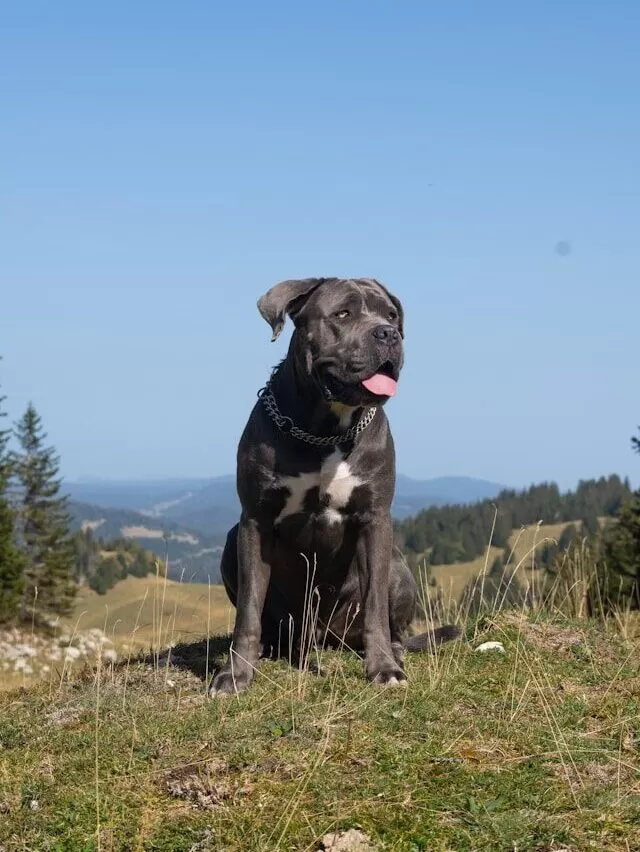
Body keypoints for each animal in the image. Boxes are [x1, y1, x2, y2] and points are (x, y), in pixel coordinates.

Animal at [211, 276, 460, 696]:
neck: (324, 431)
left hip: (398, 568)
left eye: (391, 315)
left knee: (391, 624)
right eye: (343, 314)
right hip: (233, 545)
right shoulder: (255, 521)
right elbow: (247, 611)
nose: (389, 334)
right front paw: (236, 673)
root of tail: (322, 637)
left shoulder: (375, 519)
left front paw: (384, 669)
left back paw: (395, 651)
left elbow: (375, 607)